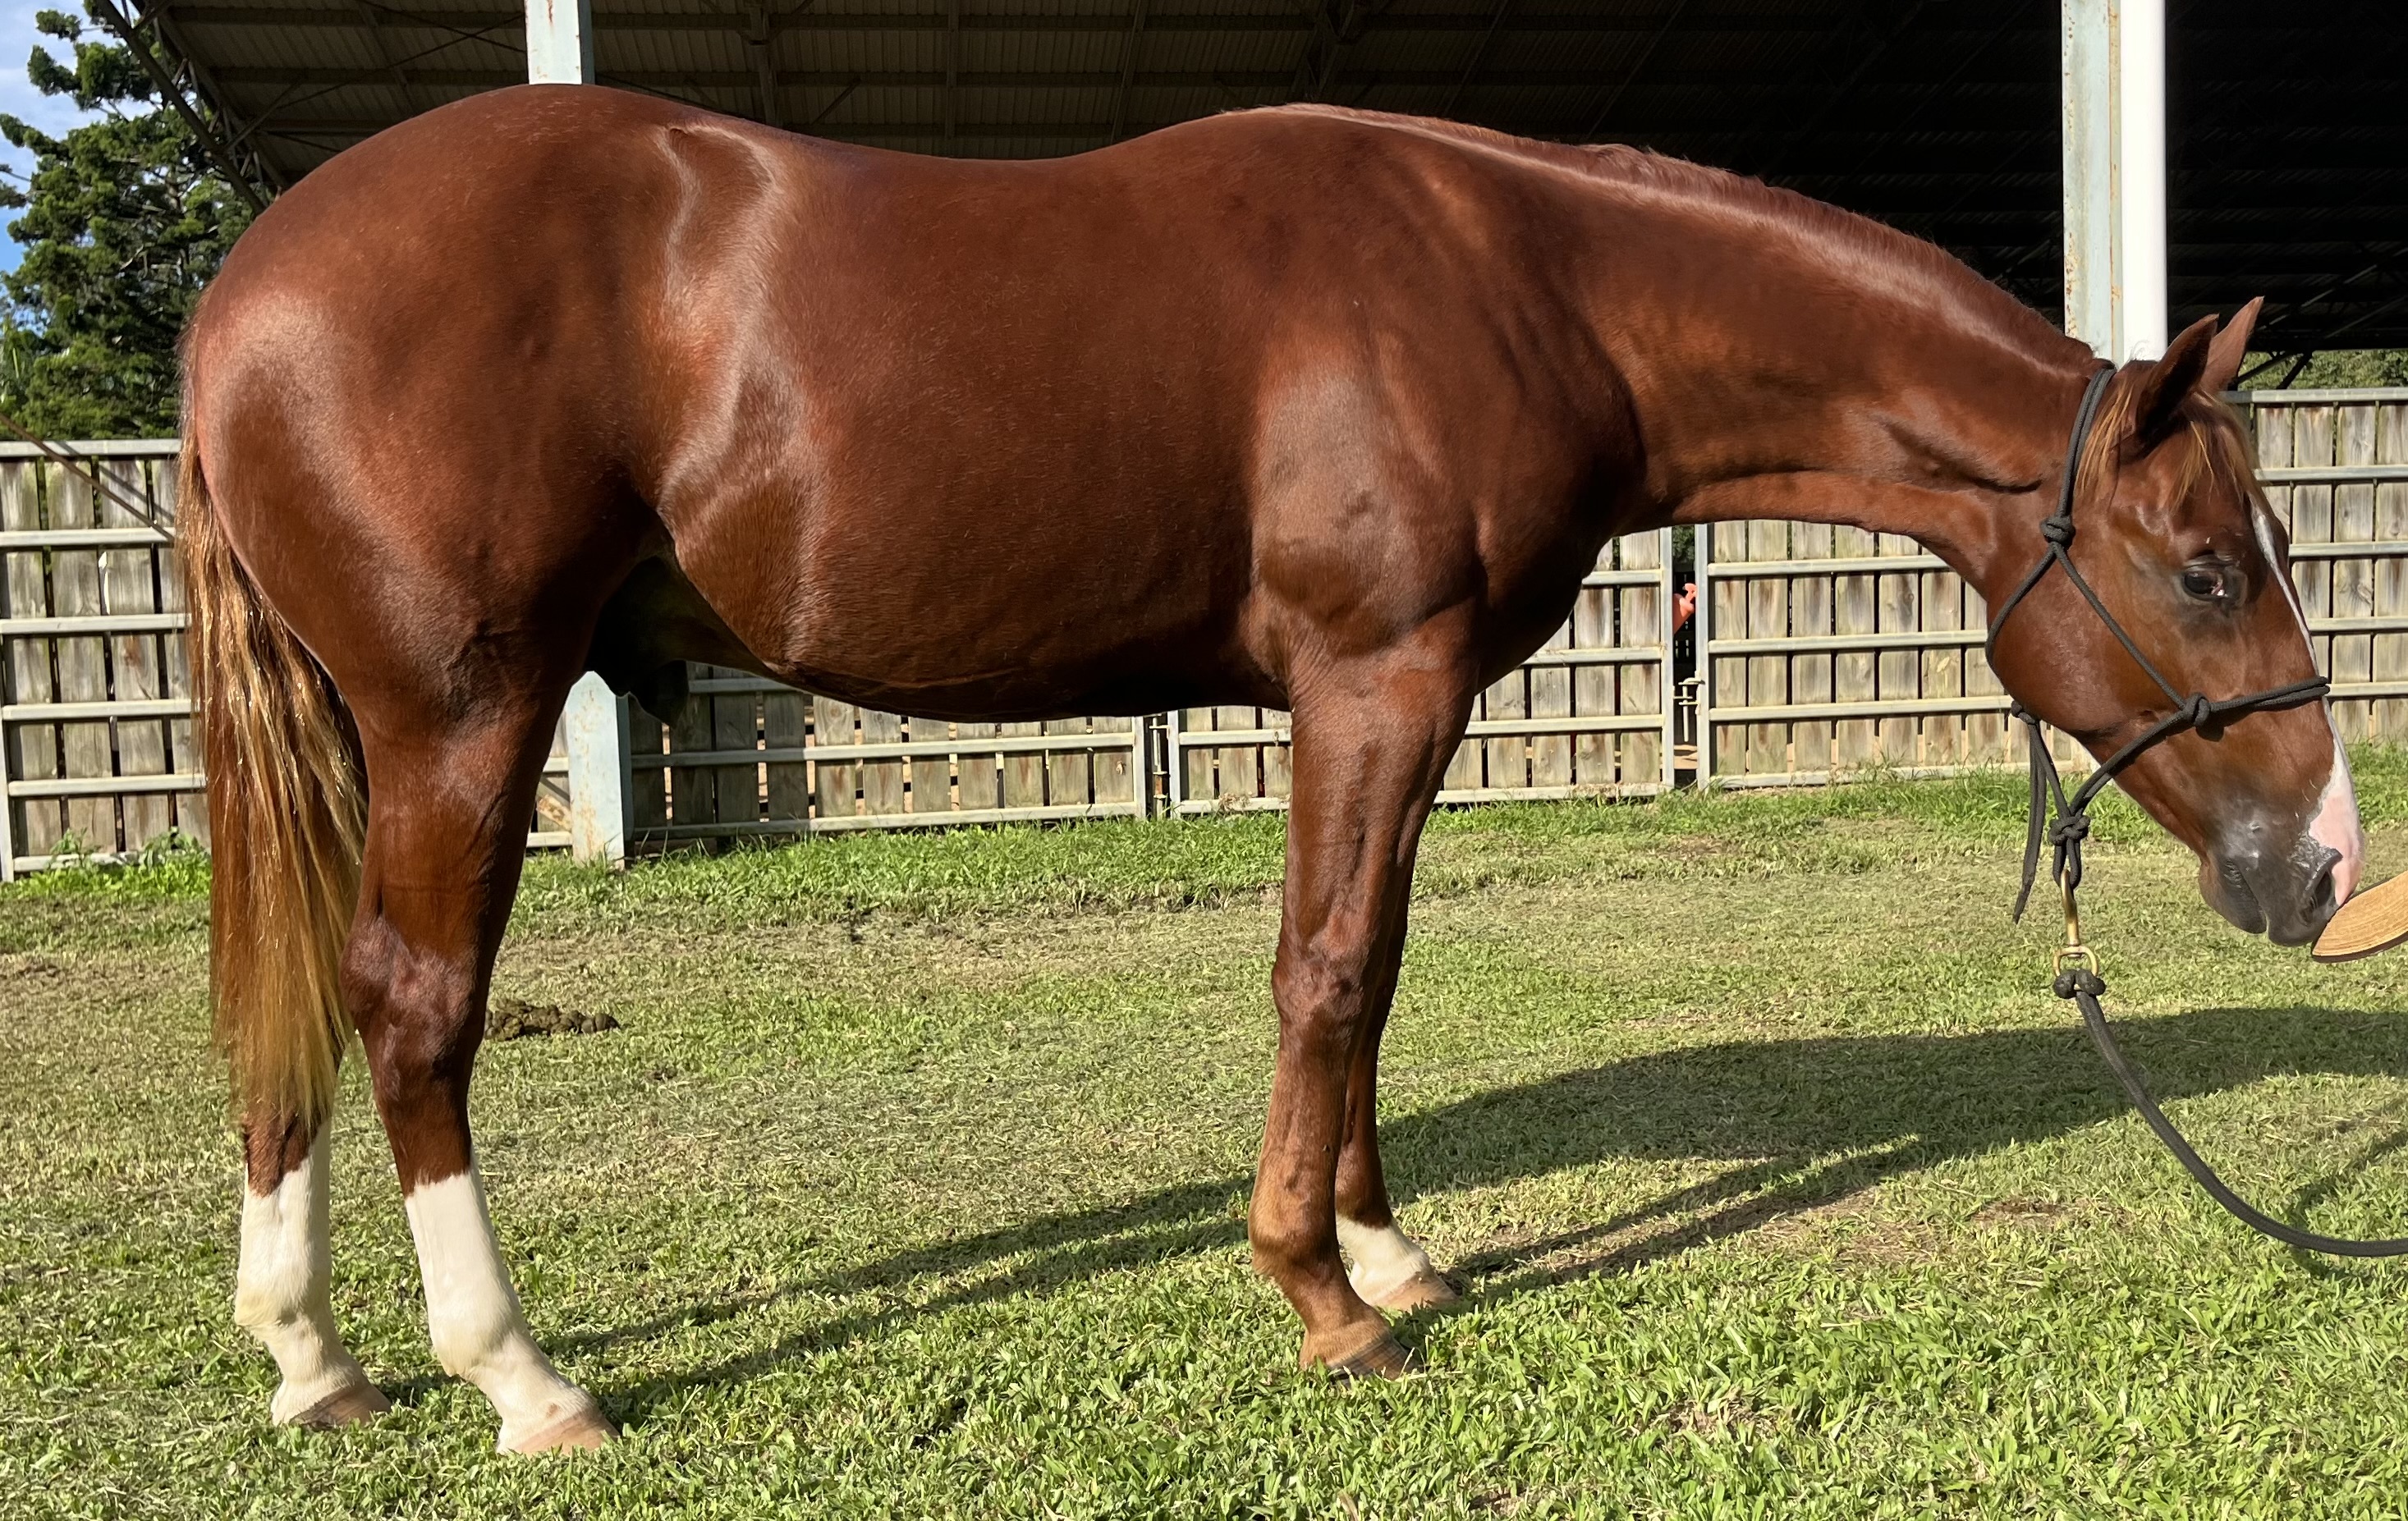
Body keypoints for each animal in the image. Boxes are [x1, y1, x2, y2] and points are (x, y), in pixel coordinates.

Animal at [180, 85, 2360, 1453]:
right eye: (2204, 564)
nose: (2328, 858)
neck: (1525, 278)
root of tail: (246, 290)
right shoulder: (1368, 677)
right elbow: (1323, 967)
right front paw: (1326, 1296)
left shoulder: (1411, 693)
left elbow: (1375, 966)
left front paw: (1387, 1243)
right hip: (463, 714)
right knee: (410, 1006)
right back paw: (517, 1375)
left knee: (295, 1012)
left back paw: (310, 1353)